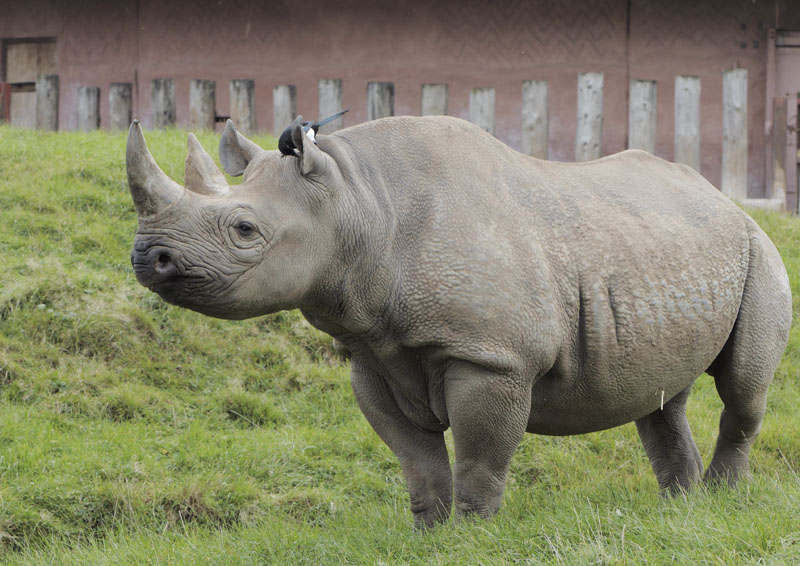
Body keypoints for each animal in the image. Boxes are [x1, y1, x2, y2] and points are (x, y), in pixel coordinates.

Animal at [126, 115, 792, 528]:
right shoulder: (374, 353)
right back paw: (679, 507)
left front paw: (473, 533)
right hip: (662, 249)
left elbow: (479, 452)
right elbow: (414, 455)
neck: (359, 204)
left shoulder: (492, 355)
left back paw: (722, 498)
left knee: (742, 387)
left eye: (245, 231)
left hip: (759, 249)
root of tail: (724, 197)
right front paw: (427, 533)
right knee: (660, 395)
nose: (147, 257)